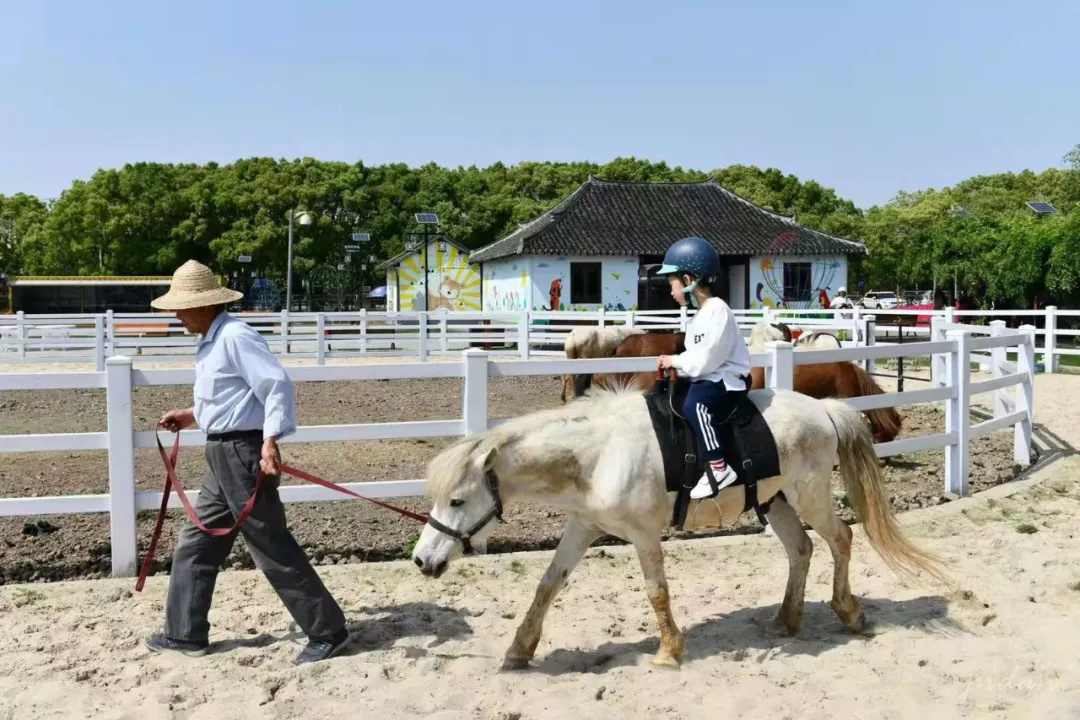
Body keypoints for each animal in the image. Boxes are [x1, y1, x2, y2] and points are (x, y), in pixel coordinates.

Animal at [412, 386, 946, 673]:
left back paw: (849, 612)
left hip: (810, 496)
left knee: (841, 540)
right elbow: (547, 586)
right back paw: (785, 620)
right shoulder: (582, 528)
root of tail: (824, 407)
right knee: (801, 550)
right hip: (775, 502)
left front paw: (669, 652)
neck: (598, 455)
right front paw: (518, 650)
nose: (422, 560)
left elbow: (656, 592)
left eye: (457, 500)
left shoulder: (644, 535)